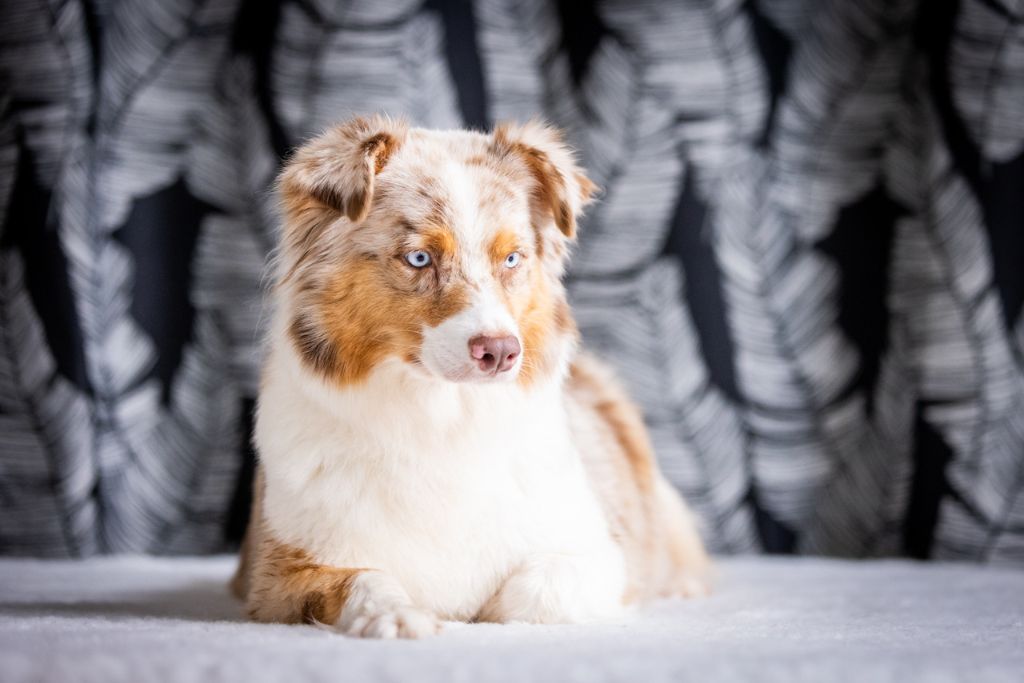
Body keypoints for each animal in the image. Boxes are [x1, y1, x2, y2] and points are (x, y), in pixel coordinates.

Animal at [234, 116, 712, 634]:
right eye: (419, 258)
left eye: (512, 258)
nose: (501, 352)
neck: (443, 418)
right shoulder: (275, 577)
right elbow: (363, 580)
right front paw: (398, 616)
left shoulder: (604, 556)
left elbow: (530, 591)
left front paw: (478, 614)